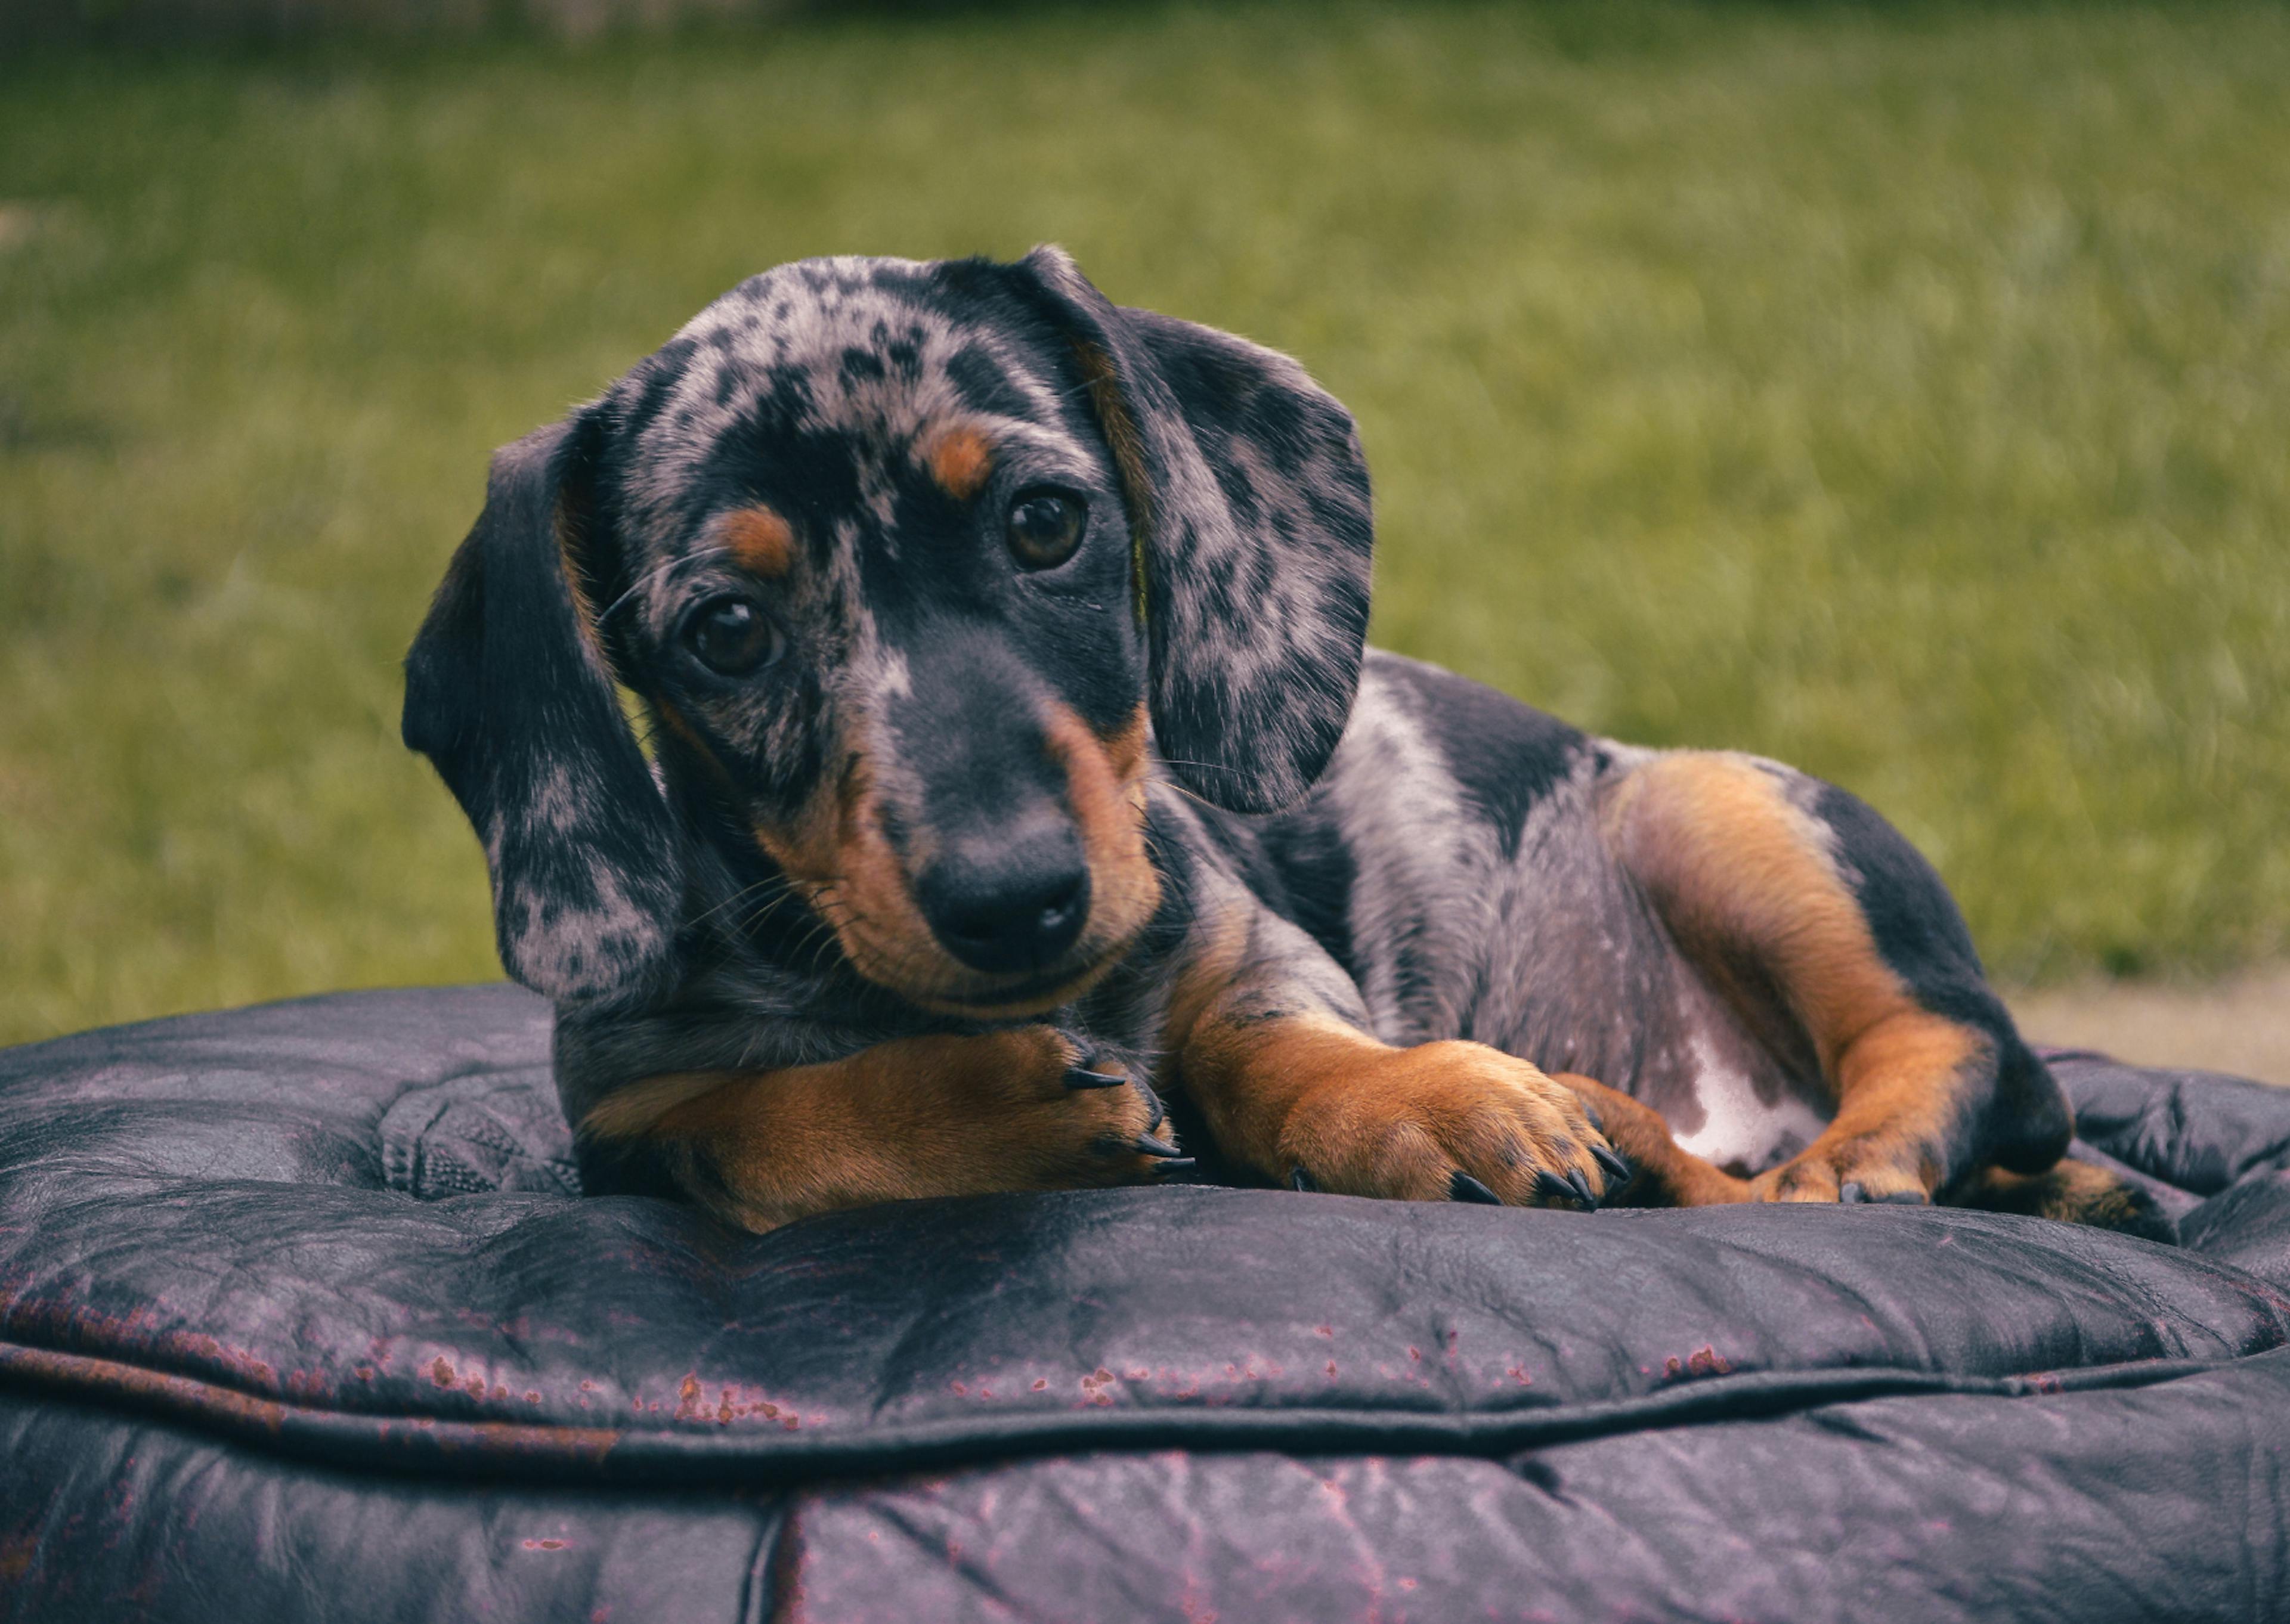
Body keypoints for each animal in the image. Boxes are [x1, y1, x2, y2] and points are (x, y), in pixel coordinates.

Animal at [407, 244, 2161, 1228]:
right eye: (726, 632)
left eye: (1045, 521)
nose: (1015, 898)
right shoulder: (620, 1115)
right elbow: (753, 1127)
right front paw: (976, 1108)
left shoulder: (1252, 952)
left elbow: (1277, 1052)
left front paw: (1424, 1101)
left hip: (1719, 807)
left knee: (1958, 1047)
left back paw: (1835, 1162)